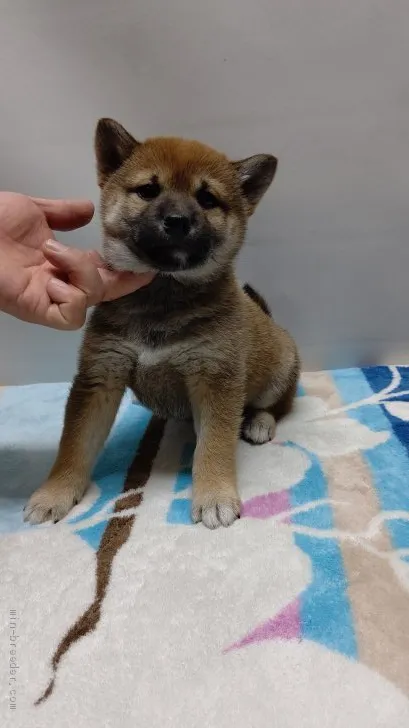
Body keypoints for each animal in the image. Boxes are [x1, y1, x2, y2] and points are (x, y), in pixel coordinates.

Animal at [25, 119, 300, 528]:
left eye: (207, 199)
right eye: (148, 190)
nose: (178, 221)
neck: (162, 294)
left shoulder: (215, 376)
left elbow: (214, 445)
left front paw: (214, 495)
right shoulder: (101, 374)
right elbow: (74, 444)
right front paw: (55, 492)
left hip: (279, 370)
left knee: (277, 405)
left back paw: (259, 422)